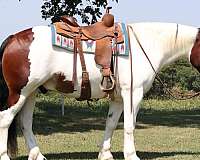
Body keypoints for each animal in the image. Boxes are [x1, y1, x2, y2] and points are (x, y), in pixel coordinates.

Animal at [0, 22, 200, 160]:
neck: (145, 45)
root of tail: (13, 38)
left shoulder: (118, 98)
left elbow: (111, 123)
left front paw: (105, 154)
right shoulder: (133, 94)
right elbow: (129, 125)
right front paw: (131, 155)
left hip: (31, 93)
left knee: (26, 123)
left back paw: (38, 155)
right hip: (19, 93)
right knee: (5, 120)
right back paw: (5, 156)